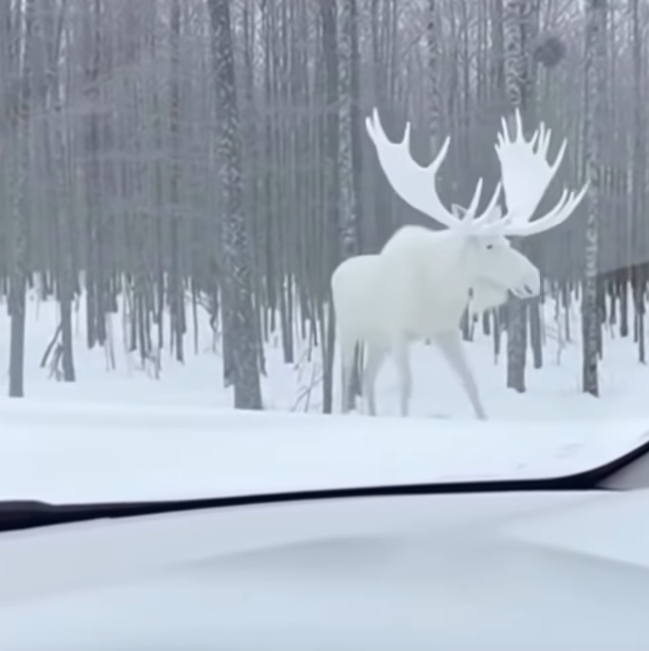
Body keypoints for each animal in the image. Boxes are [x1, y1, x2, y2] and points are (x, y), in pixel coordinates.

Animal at [331, 108, 588, 419]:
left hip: (376, 341)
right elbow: (406, 387)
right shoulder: (398, 332)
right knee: (347, 378)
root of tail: (337, 271)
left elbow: (470, 382)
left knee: (368, 380)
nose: (532, 279)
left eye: (507, 241)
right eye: (489, 245)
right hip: (348, 333)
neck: (440, 288)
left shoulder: (446, 331)